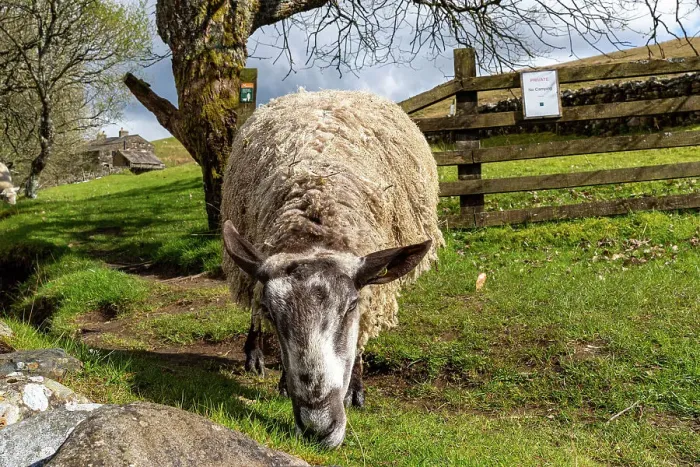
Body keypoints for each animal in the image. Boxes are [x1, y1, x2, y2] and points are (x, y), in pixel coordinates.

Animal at [221, 89, 443, 448]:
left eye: (351, 306)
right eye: (273, 314)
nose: (317, 428)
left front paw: (355, 389)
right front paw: (283, 382)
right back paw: (254, 356)